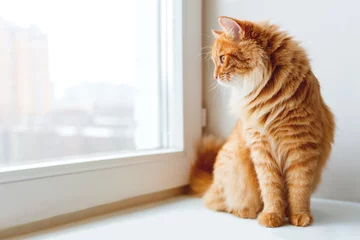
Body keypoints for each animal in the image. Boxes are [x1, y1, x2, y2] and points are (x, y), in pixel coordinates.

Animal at [190, 16, 336, 227]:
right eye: (215, 61)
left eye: (222, 59)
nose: (215, 76)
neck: (270, 96)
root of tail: (212, 183)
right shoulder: (261, 150)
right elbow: (271, 190)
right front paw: (271, 216)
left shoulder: (301, 148)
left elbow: (299, 189)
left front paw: (299, 215)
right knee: (218, 203)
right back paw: (246, 212)